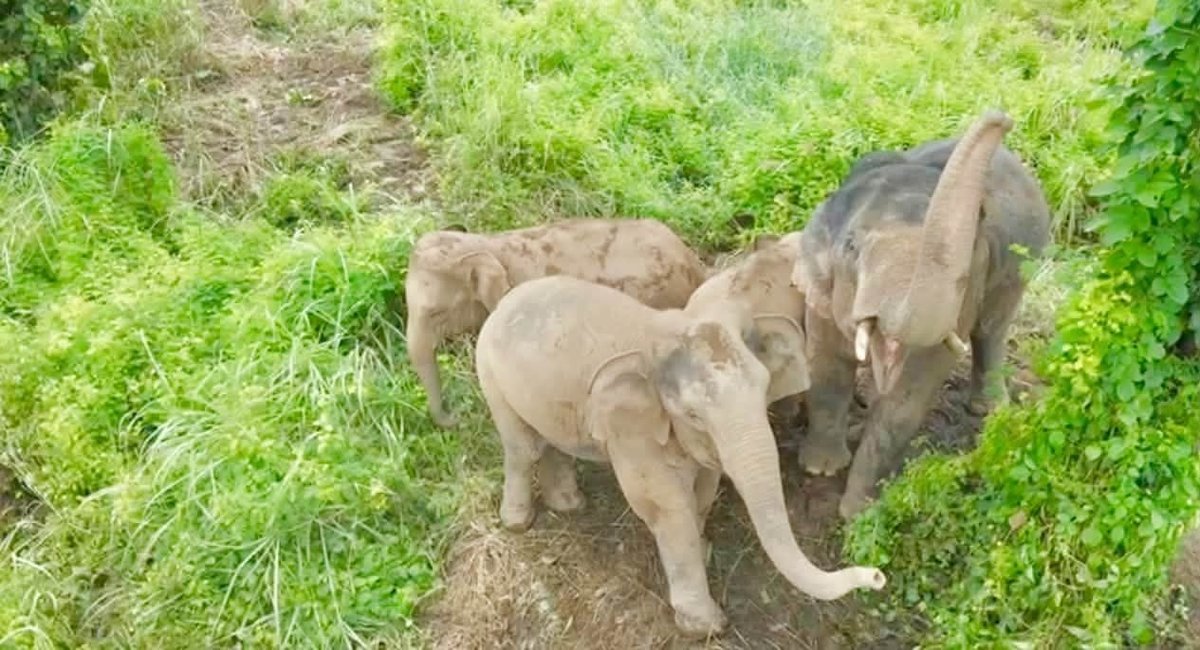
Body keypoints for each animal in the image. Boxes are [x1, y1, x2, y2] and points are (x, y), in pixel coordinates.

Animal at [475, 275, 885, 637]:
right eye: (693, 415)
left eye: (766, 389)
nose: (877, 576)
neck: (659, 337)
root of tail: (504, 301)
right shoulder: (630, 429)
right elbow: (666, 505)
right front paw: (705, 627)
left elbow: (703, 487)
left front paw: (702, 547)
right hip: (489, 372)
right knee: (522, 447)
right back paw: (519, 522)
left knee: (549, 441)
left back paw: (569, 504)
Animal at [791, 110, 1051, 519]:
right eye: (851, 247)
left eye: (965, 265)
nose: (1002, 117)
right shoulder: (820, 291)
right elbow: (826, 367)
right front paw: (821, 469)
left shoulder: (959, 304)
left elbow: (907, 397)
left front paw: (858, 513)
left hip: (1020, 269)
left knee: (991, 329)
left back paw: (989, 410)